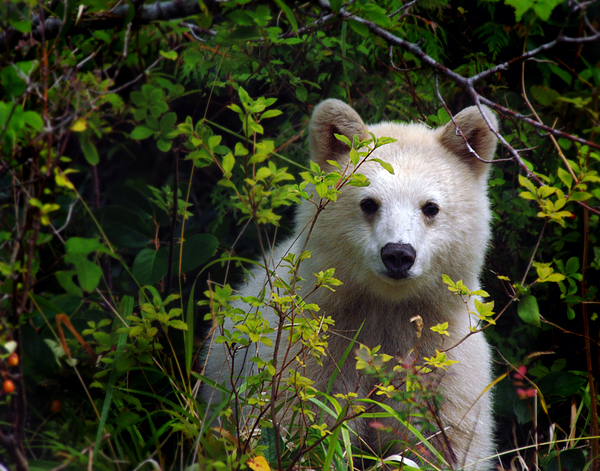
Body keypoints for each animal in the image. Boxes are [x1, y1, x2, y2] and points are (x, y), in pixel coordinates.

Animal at [202, 98, 496, 468]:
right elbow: (299, 424)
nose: (398, 254)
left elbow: (442, 442)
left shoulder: (441, 360)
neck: (385, 307)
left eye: (431, 207)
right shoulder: (314, 350)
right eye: (369, 203)